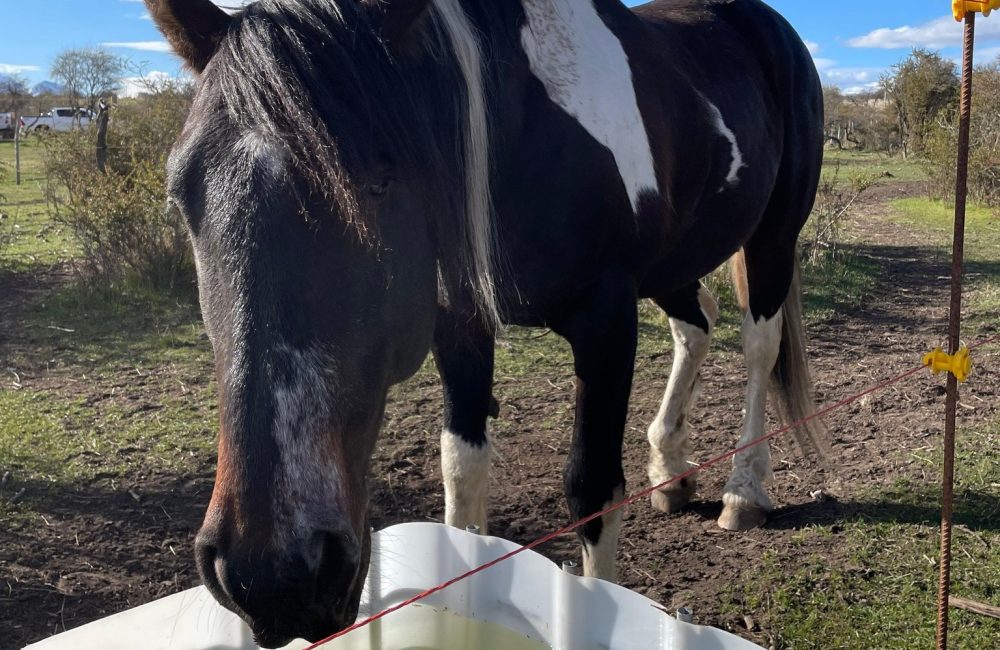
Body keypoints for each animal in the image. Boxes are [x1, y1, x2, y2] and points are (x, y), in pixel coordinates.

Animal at [146, 0, 825, 645]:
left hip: (772, 238)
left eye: (378, 182)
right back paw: (670, 468)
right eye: (181, 194)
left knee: (759, 347)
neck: (518, 131)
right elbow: (462, 471)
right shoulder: (459, 324)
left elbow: (592, 488)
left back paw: (743, 490)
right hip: (675, 262)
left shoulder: (607, 319)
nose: (271, 576)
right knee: (697, 325)